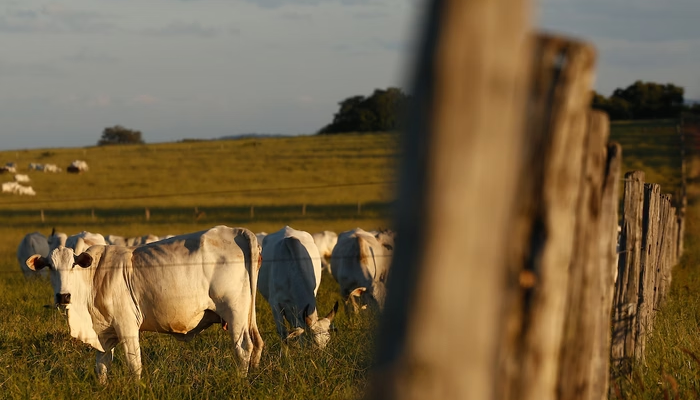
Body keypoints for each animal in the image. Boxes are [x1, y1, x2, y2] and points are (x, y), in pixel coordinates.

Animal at [25, 223, 262, 382]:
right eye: (50, 266)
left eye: (73, 265)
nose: (63, 296)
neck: (94, 276)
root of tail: (238, 231)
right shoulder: (104, 331)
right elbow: (101, 366)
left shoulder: (127, 326)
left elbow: (134, 364)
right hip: (246, 316)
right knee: (256, 343)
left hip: (234, 311)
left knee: (243, 347)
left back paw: (240, 381)